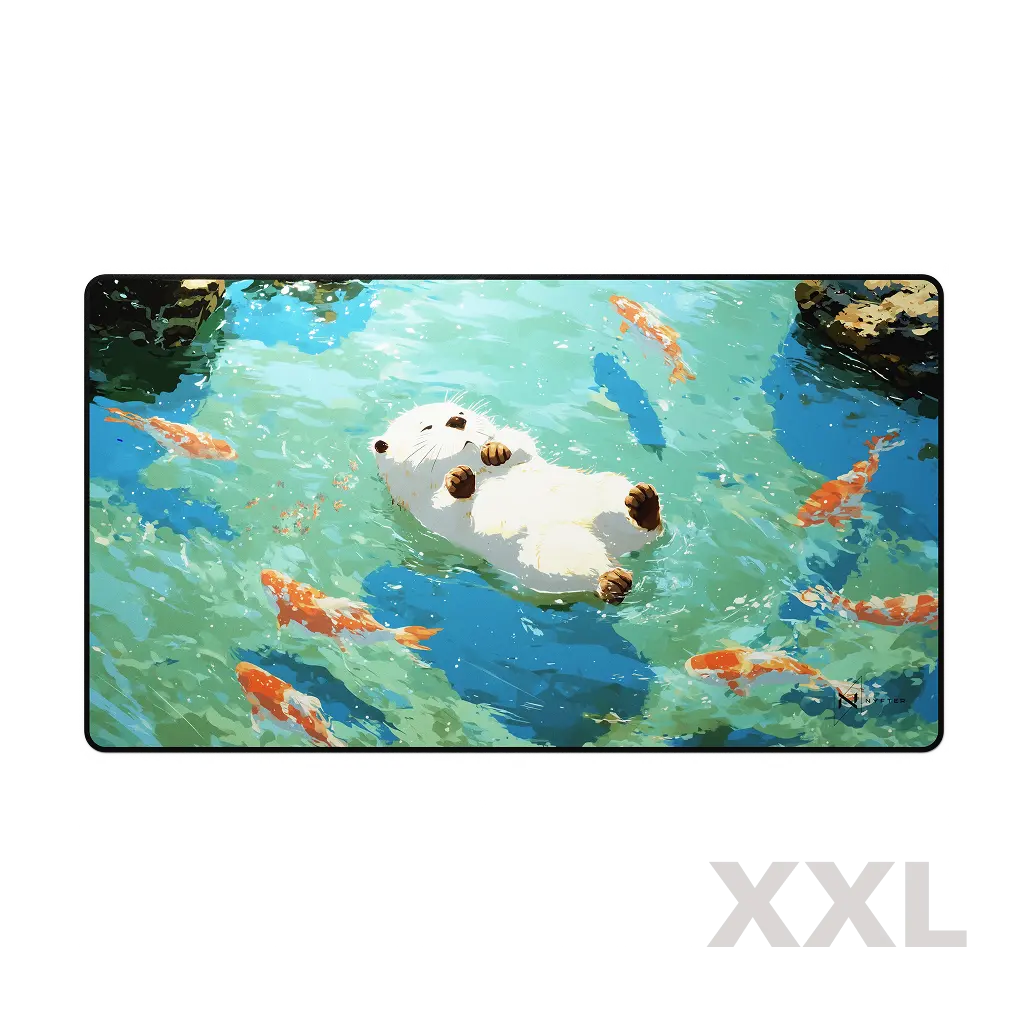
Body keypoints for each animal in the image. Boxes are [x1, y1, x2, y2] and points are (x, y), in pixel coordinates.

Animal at [370, 401, 663, 603]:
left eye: (461, 411)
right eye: (426, 427)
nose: (457, 420)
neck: (482, 472)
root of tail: (612, 547)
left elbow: (521, 443)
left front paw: (496, 450)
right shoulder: (423, 509)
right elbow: (446, 510)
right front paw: (458, 479)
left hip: (605, 489)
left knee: (647, 526)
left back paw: (642, 503)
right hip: (547, 557)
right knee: (583, 573)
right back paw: (612, 581)